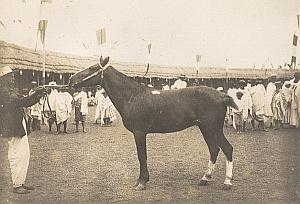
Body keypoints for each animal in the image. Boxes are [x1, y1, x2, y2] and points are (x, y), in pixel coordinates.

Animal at [69, 56, 238, 190]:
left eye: (92, 68)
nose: (71, 79)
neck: (132, 96)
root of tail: (222, 96)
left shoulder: (139, 132)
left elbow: (142, 156)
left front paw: (142, 182)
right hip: (205, 128)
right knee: (214, 149)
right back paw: (205, 178)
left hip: (213, 128)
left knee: (227, 148)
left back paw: (227, 182)